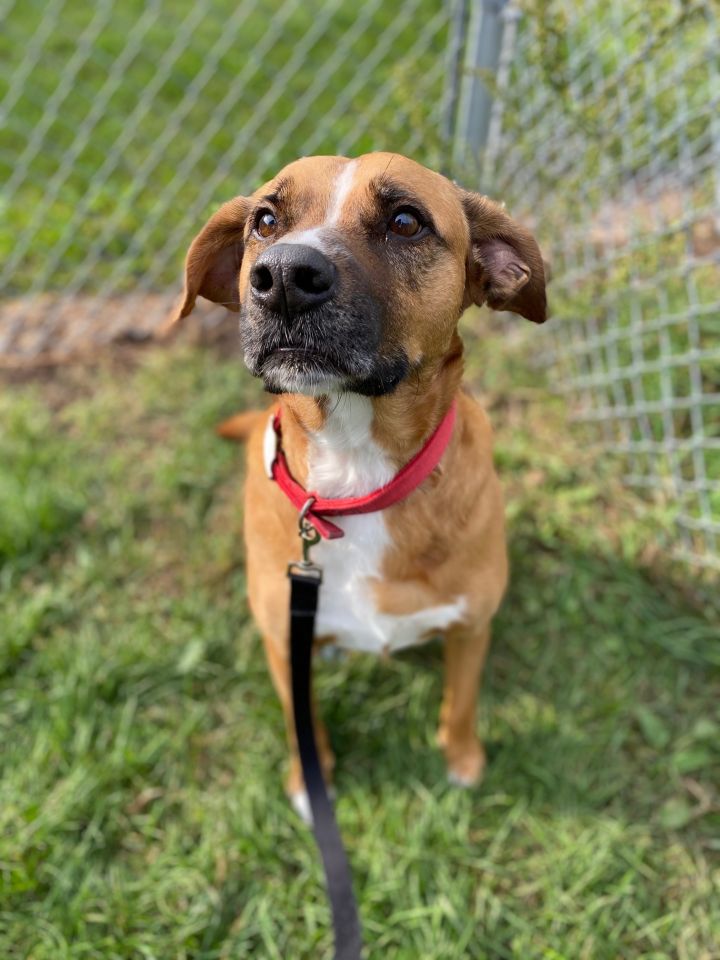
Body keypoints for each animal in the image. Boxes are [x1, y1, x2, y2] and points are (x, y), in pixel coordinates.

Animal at [169, 154, 544, 820]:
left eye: (406, 221)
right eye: (265, 219)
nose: (283, 277)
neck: (355, 472)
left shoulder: (471, 627)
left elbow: (461, 704)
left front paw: (463, 762)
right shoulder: (283, 642)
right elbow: (302, 720)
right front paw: (309, 781)